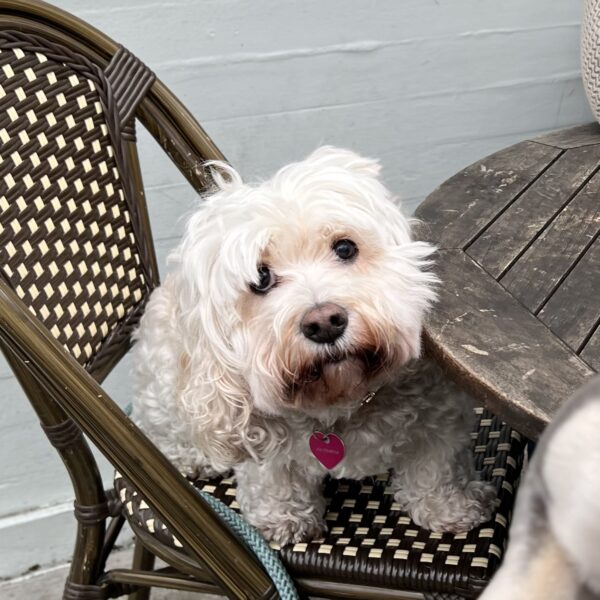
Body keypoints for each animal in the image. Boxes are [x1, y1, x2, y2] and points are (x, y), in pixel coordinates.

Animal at [132, 148, 496, 548]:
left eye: (345, 247)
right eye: (260, 278)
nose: (324, 322)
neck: (341, 403)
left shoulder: (438, 420)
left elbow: (437, 467)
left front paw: (450, 509)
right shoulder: (258, 441)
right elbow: (273, 479)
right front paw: (284, 520)